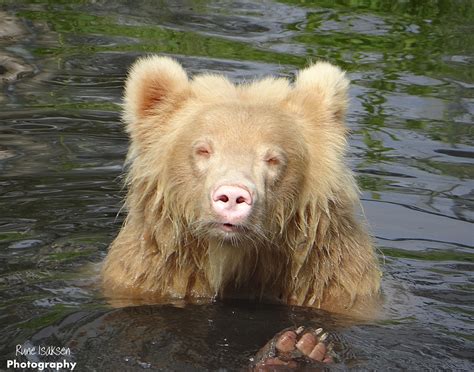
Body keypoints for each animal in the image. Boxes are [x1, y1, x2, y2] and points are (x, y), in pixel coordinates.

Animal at [103, 55, 382, 320]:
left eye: (273, 158)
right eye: (203, 149)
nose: (233, 196)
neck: (229, 259)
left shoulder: (330, 278)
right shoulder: (149, 273)